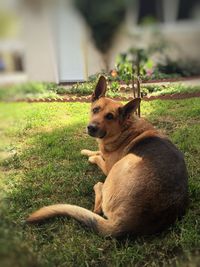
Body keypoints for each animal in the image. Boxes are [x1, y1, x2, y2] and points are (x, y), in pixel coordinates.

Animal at [26, 76, 188, 238]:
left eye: (110, 116)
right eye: (95, 109)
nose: (91, 128)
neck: (124, 129)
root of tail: (127, 225)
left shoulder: (108, 166)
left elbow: (99, 157)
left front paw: (92, 157)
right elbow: (97, 151)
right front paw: (87, 151)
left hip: (123, 163)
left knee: (97, 209)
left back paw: (99, 186)